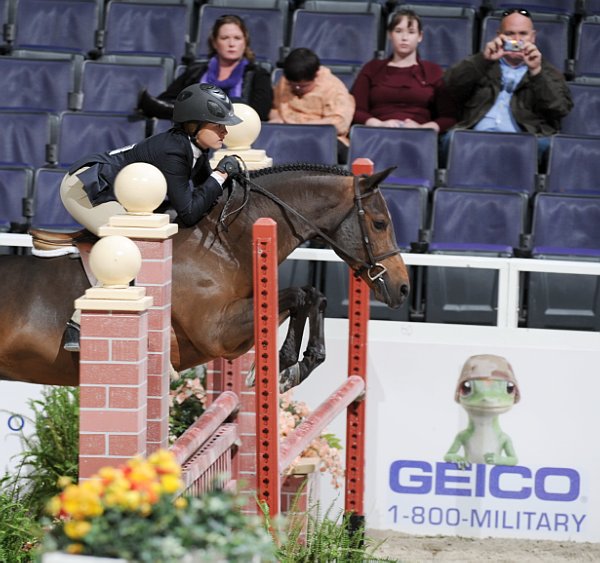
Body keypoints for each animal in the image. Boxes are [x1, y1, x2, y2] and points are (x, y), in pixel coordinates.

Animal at [0, 163, 408, 390]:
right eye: (380, 223)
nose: (402, 288)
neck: (225, 242)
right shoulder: (216, 331)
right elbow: (298, 294)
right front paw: (284, 365)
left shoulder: (235, 331)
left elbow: (312, 295)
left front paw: (296, 366)